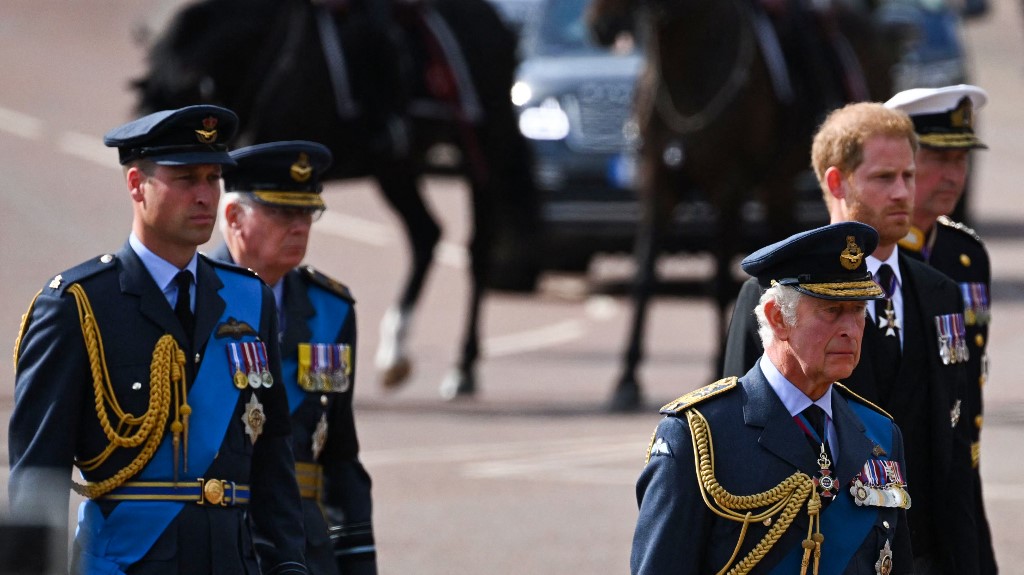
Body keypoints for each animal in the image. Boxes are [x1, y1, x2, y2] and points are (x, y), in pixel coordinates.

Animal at [136, 0, 544, 399]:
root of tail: (499, 24)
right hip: (396, 168)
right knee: (426, 233)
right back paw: (395, 352)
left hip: (484, 155)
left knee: (478, 250)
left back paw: (463, 366)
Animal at [589, 0, 901, 407]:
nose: (601, 27)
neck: (686, 73)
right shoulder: (657, 186)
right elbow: (643, 280)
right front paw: (627, 377)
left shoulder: (729, 189)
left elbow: (720, 282)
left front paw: (715, 364)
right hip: (776, 185)